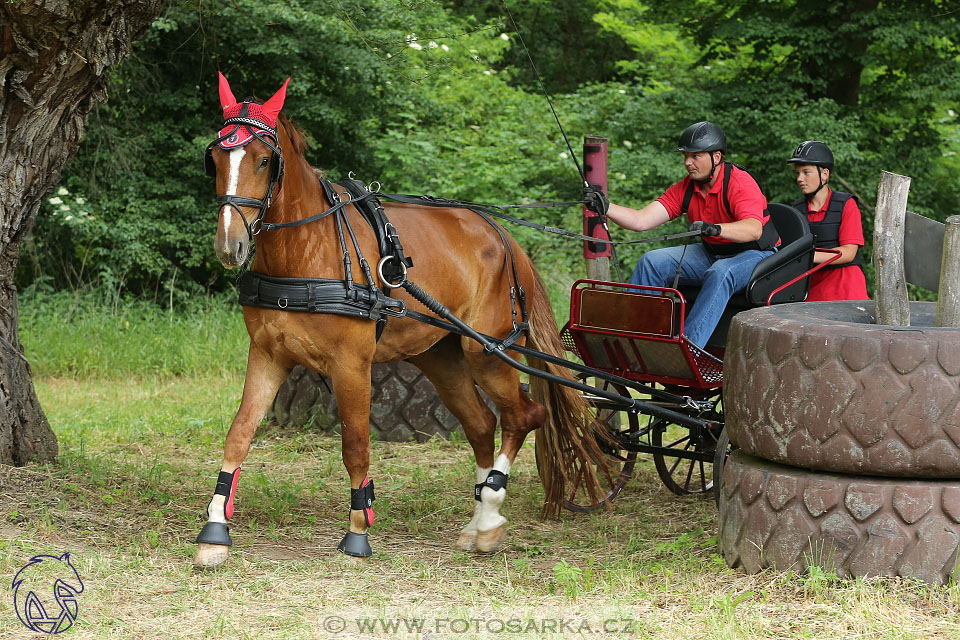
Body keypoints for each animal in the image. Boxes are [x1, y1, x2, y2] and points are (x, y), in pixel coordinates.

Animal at [191, 72, 604, 568]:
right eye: (215, 158)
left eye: (265, 159)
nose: (229, 245)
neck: (309, 248)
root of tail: (502, 236)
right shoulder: (268, 355)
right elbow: (239, 435)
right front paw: (215, 531)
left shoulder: (352, 365)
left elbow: (355, 446)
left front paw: (357, 532)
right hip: (442, 357)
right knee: (482, 425)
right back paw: (477, 522)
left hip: (487, 351)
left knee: (523, 417)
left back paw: (489, 518)